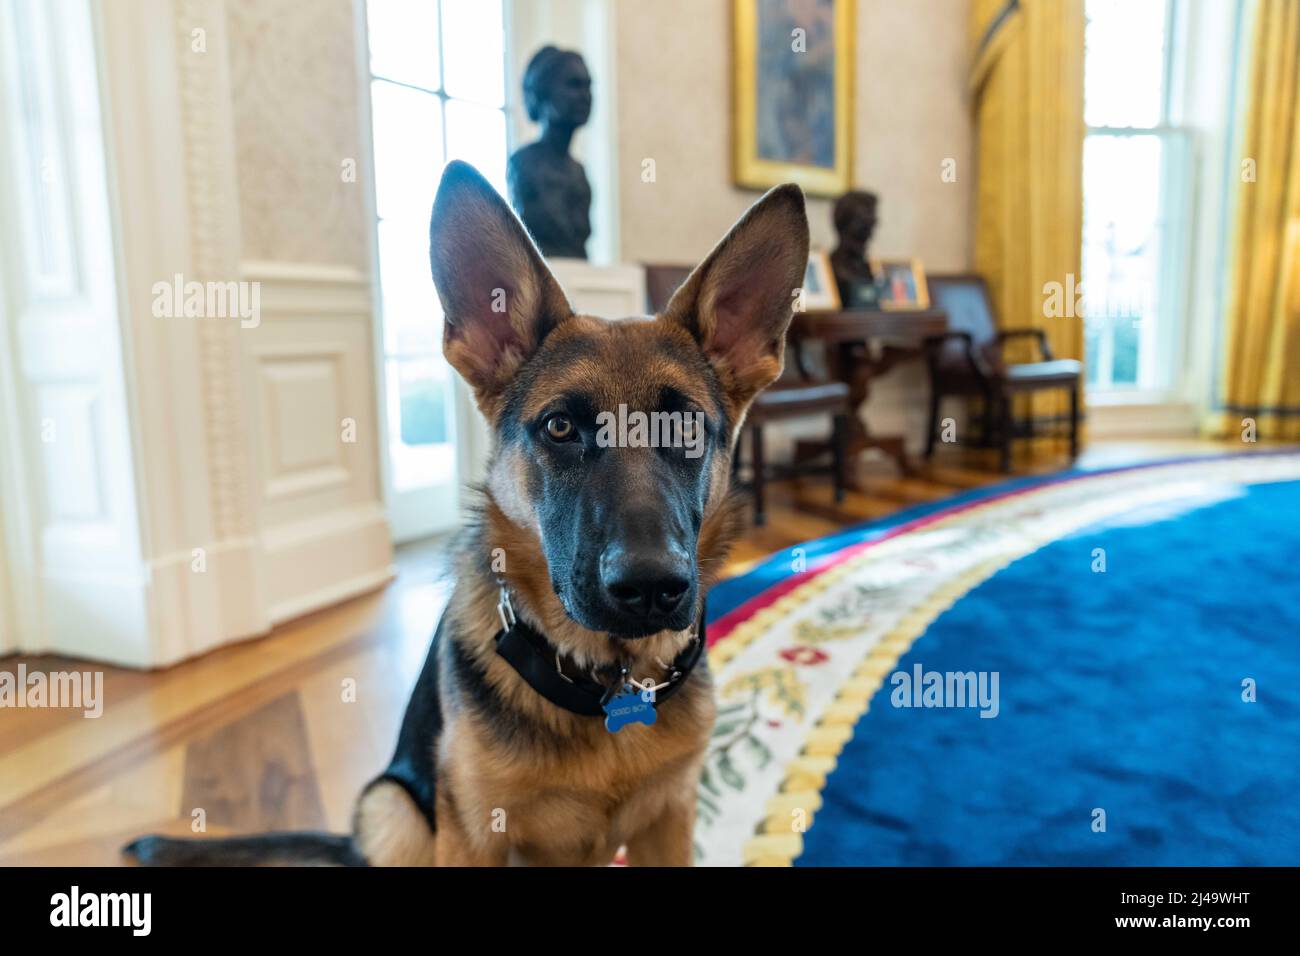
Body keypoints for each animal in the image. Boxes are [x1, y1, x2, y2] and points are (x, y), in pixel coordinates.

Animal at [126, 160, 806, 863]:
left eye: (688, 430)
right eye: (560, 427)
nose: (650, 588)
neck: (606, 682)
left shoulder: (670, 819)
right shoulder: (474, 830)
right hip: (393, 809)